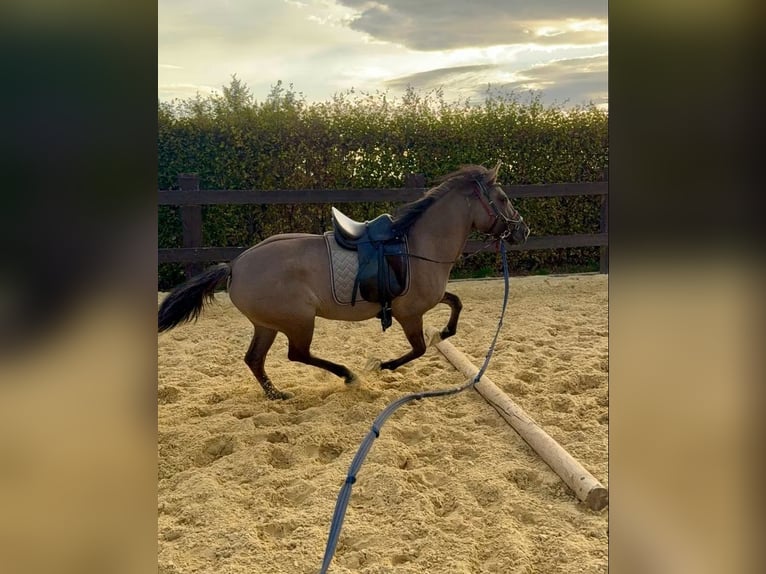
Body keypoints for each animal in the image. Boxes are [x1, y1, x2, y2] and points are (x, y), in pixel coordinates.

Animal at [158, 162, 529, 399]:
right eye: (503, 198)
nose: (522, 230)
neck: (417, 246)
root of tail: (235, 265)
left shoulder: (427, 302)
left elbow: (455, 303)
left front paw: (446, 332)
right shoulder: (409, 314)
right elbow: (419, 348)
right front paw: (382, 365)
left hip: (268, 325)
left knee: (255, 359)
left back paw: (277, 395)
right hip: (298, 321)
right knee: (297, 354)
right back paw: (348, 376)